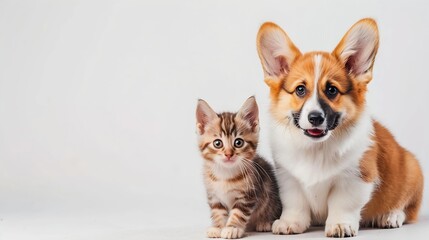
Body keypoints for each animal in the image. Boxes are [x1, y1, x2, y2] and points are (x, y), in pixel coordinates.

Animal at [195, 96, 280, 239]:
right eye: (217, 143)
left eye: (238, 142)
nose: (229, 154)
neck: (225, 174)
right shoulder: (214, 195)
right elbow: (218, 211)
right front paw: (218, 227)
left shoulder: (249, 194)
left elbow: (238, 212)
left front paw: (232, 228)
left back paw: (264, 223)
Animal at [254, 17, 422, 237]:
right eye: (300, 90)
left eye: (332, 90)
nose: (315, 118)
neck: (316, 149)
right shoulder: (288, 177)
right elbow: (295, 202)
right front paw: (290, 222)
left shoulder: (355, 177)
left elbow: (342, 204)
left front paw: (340, 225)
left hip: (412, 171)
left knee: (408, 209)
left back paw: (391, 216)